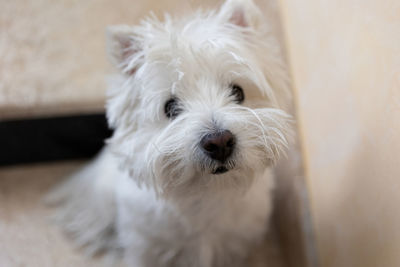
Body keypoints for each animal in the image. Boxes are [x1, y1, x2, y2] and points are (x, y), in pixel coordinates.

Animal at [47, 1, 292, 266]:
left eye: (238, 92)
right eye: (170, 107)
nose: (219, 142)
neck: (207, 195)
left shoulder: (234, 247)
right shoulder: (146, 245)